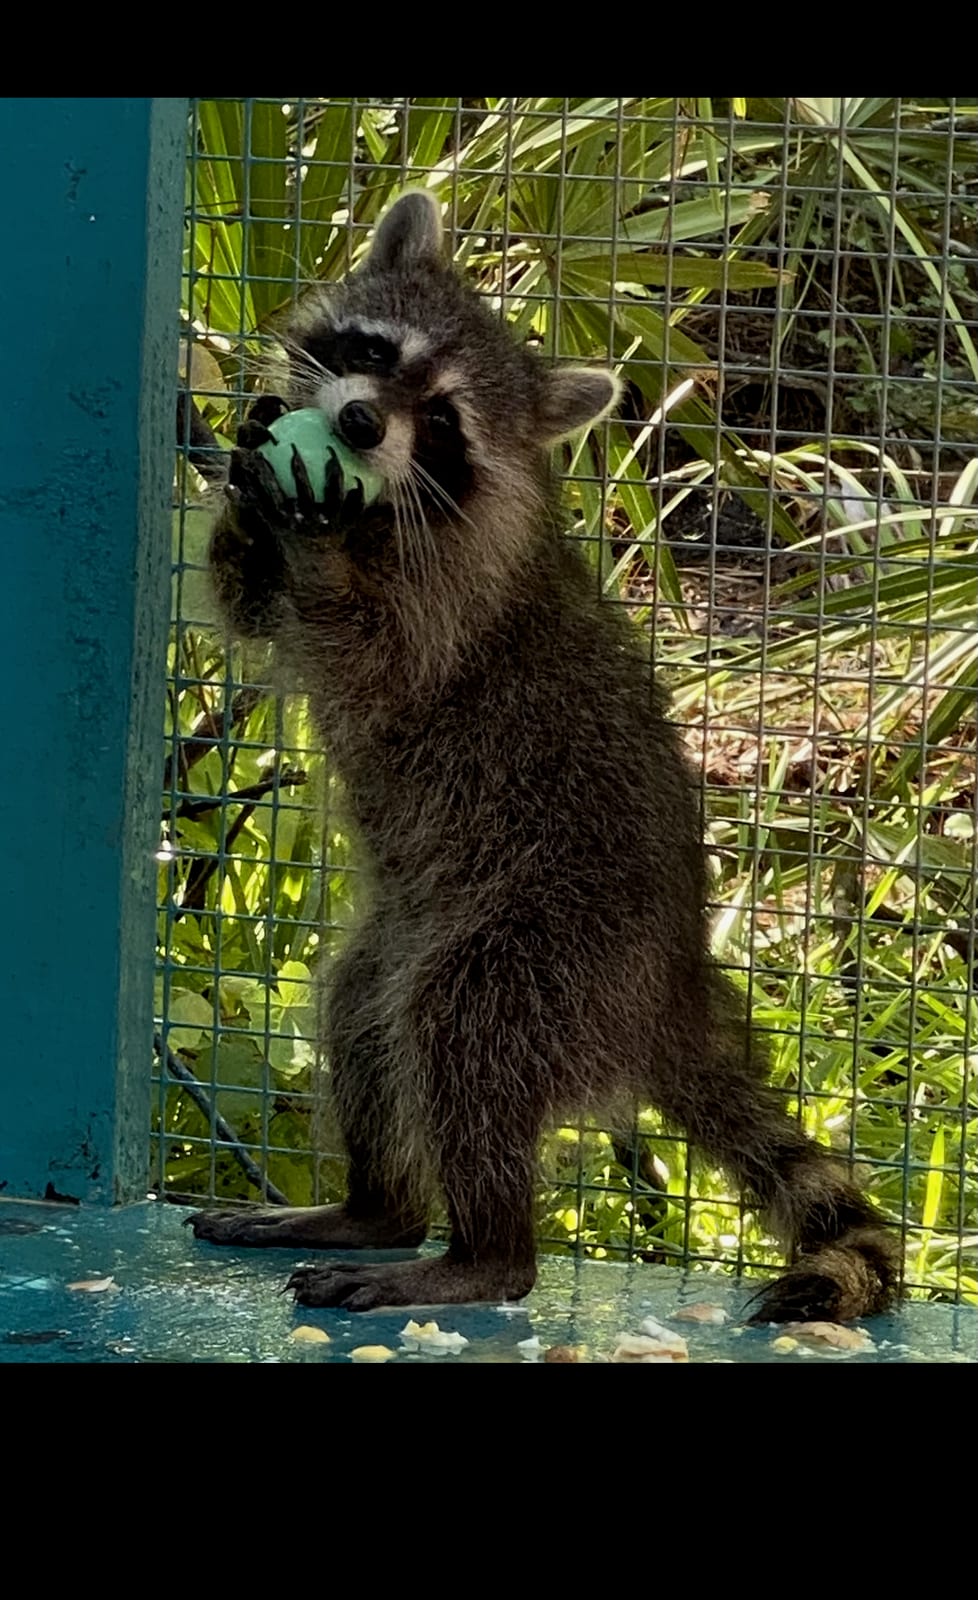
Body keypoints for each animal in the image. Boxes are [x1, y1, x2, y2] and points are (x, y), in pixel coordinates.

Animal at [189, 191, 900, 1321]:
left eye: (440, 421)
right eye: (375, 353)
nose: (358, 425)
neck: (391, 502)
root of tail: (671, 990)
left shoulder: (454, 597)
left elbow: (381, 653)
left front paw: (313, 536)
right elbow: (247, 602)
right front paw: (248, 487)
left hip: (552, 950)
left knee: (462, 1030)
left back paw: (480, 1253)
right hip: (416, 932)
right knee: (367, 1012)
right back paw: (377, 1206)